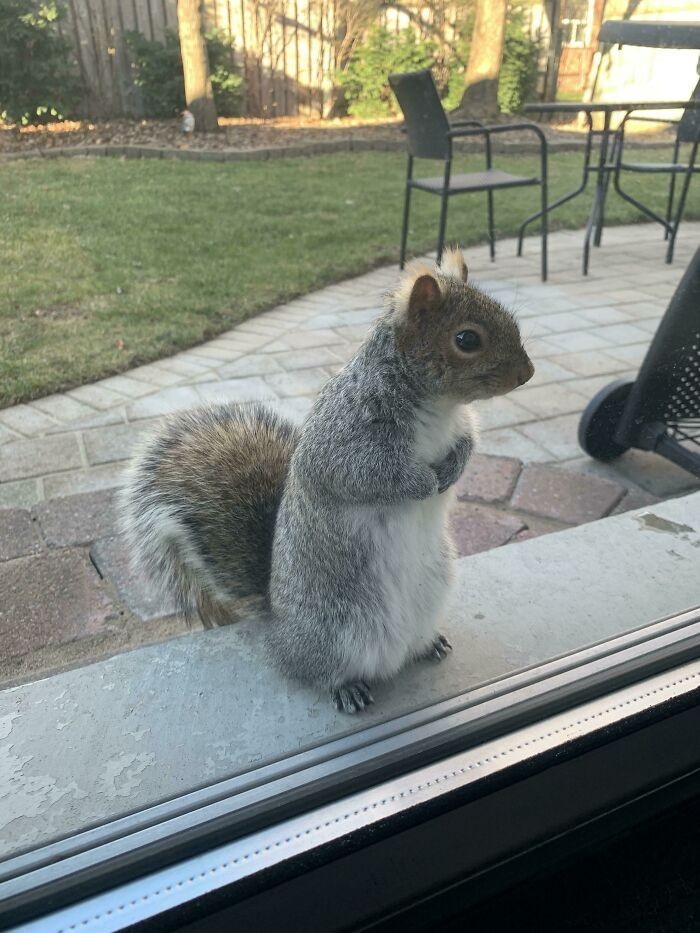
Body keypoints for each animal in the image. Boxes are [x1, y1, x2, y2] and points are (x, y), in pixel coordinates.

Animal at [121, 248, 536, 712]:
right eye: (466, 339)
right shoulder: (343, 441)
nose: (528, 373)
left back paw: (427, 645)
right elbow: (366, 476)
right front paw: (423, 483)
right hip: (334, 631)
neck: (438, 406)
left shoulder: (460, 426)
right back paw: (347, 687)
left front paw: (451, 469)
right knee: (317, 672)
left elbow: (468, 444)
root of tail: (279, 629)